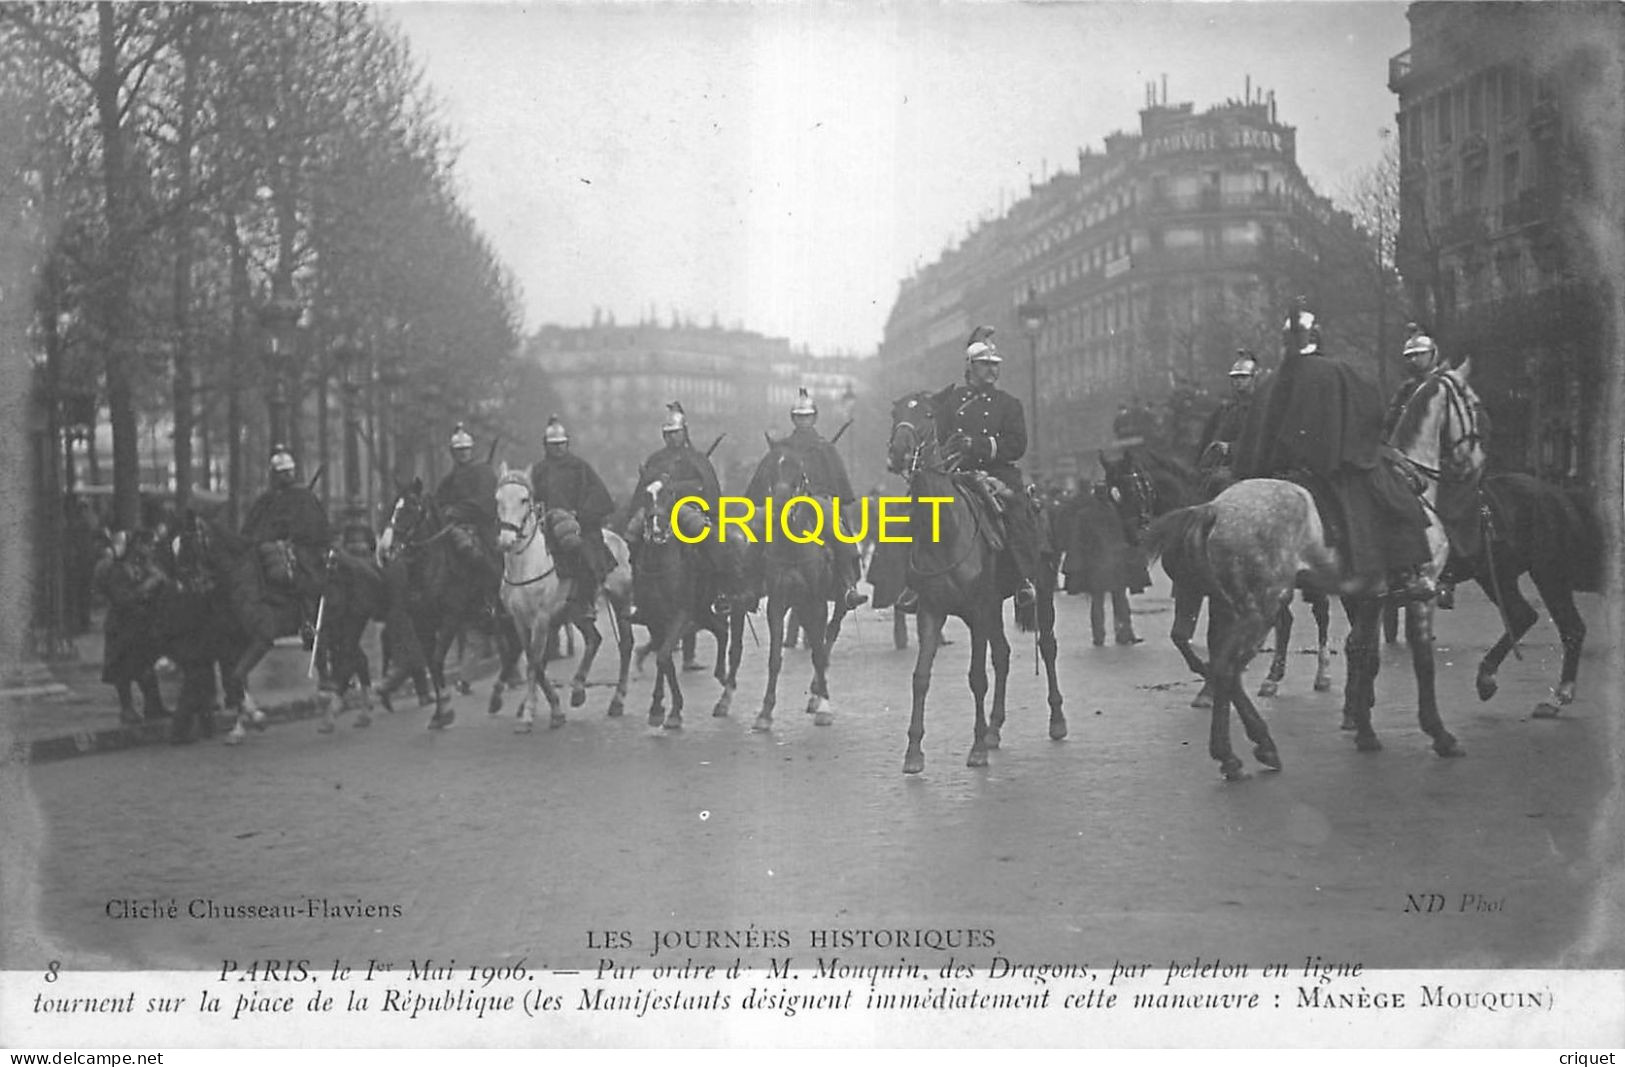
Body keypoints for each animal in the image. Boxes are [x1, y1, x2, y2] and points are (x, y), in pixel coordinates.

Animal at [490, 467, 630, 727]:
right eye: (498, 499)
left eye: (524, 499)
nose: (506, 540)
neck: (526, 565)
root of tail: (619, 540)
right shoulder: (520, 622)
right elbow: (534, 661)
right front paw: (552, 709)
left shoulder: (541, 620)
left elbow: (535, 663)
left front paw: (530, 714)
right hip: (575, 612)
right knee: (594, 639)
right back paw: (578, 690)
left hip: (621, 600)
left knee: (626, 645)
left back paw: (617, 701)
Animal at [744, 438, 858, 727]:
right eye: (771, 470)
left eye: (799, 473)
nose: (778, 508)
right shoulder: (778, 602)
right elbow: (775, 658)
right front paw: (765, 712)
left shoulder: (817, 602)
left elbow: (818, 651)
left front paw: (824, 706)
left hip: (838, 601)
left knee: (829, 637)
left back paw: (817, 693)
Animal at [890, 386, 1066, 769]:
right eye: (895, 413)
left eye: (927, 415)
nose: (897, 453)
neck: (945, 531)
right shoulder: (933, 611)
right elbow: (921, 677)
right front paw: (914, 751)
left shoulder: (977, 608)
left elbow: (976, 677)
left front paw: (977, 748)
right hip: (991, 609)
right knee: (1002, 654)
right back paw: (995, 728)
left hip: (1040, 592)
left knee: (1047, 647)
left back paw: (1057, 720)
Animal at [1092, 444, 1332, 704]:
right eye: (1113, 497)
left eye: (1136, 488)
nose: (1137, 536)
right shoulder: (1191, 587)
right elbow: (1181, 636)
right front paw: (1209, 679)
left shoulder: (1215, 593)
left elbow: (1211, 638)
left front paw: (1212, 686)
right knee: (1285, 620)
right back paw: (1272, 678)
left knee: (1321, 613)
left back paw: (1322, 674)